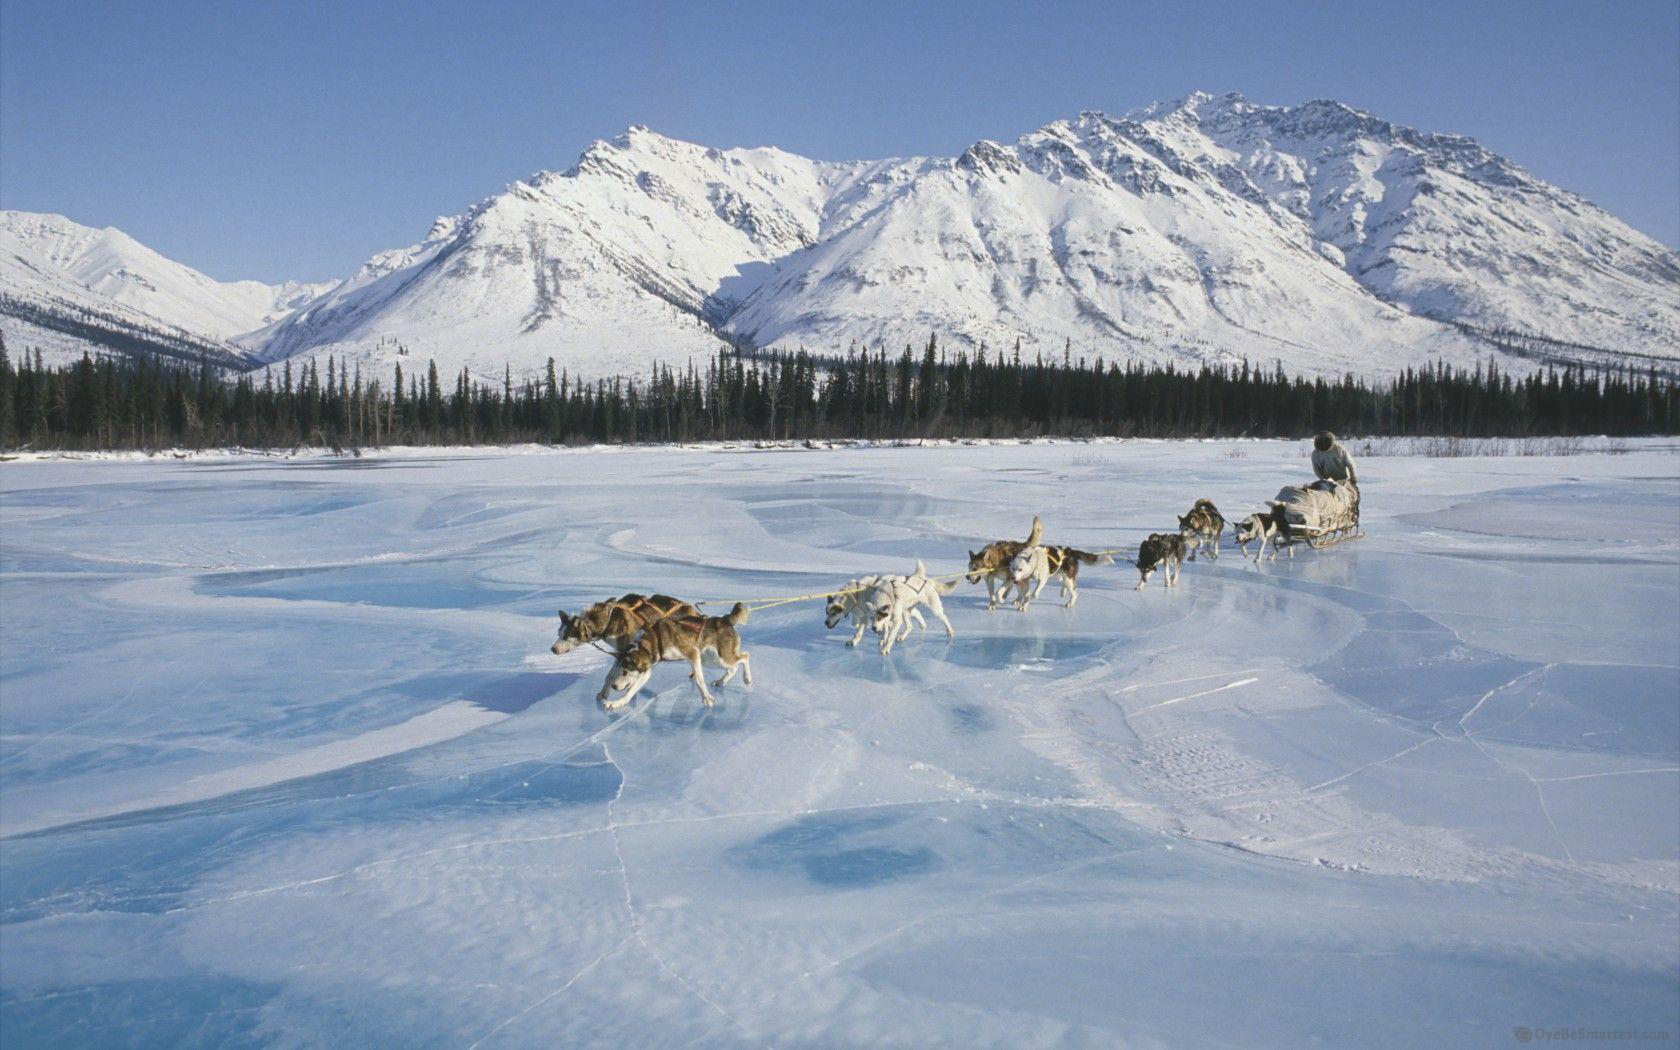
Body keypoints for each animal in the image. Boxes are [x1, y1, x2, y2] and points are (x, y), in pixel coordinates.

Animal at [601, 601, 752, 708]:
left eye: (625, 671)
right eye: (619, 670)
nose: (614, 686)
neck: (656, 638)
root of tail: (725, 619)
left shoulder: (693, 653)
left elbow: (699, 680)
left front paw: (707, 699)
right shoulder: (647, 670)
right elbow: (631, 691)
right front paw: (617, 703)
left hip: (720, 657)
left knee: (745, 656)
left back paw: (747, 679)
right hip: (710, 659)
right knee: (733, 668)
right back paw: (721, 682)